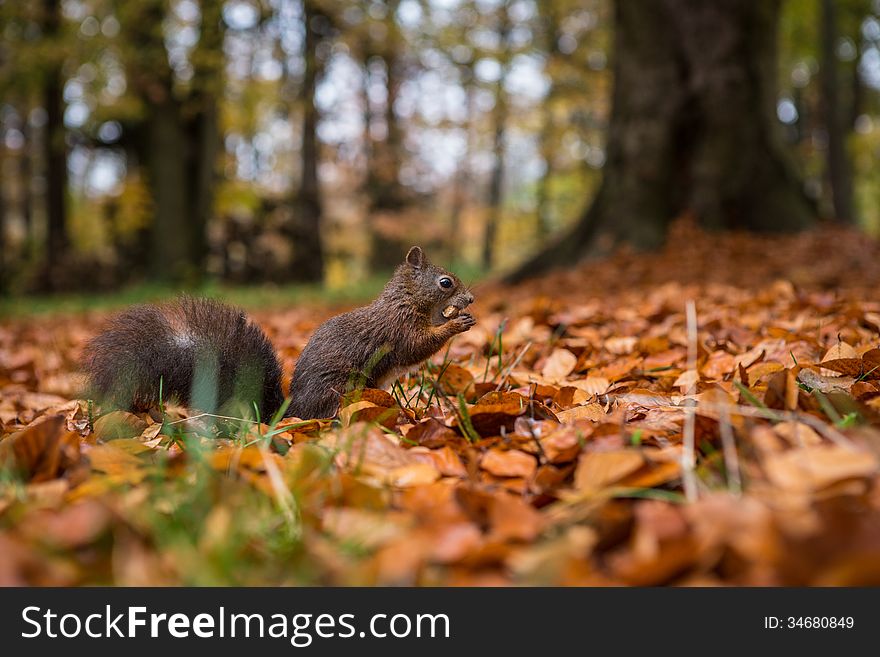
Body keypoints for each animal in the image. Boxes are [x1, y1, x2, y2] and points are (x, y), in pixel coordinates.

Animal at [84, 246, 474, 420]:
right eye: (445, 282)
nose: (471, 299)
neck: (405, 301)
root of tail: (292, 414)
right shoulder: (398, 328)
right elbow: (416, 347)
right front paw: (455, 324)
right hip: (340, 391)